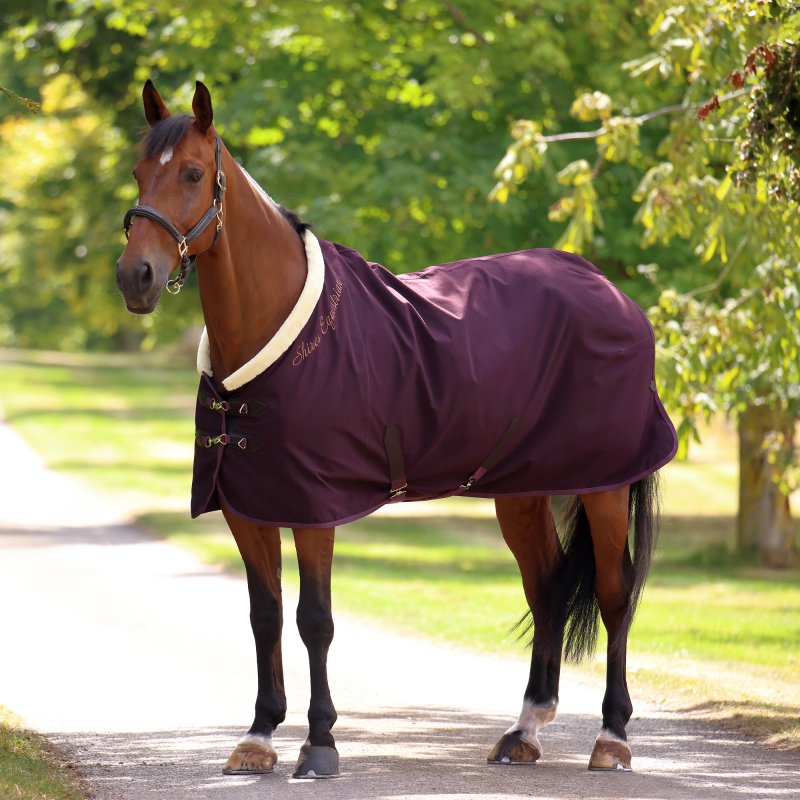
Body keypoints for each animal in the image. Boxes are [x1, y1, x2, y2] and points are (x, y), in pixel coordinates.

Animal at [117, 78, 676, 780]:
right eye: (138, 173)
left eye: (192, 174)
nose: (135, 277)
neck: (275, 327)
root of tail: (609, 288)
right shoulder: (247, 507)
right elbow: (264, 614)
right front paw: (259, 736)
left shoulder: (314, 507)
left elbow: (314, 619)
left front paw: (319, 745)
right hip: (520, 492)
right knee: (546, 586)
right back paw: (523, 730)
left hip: (604, 484)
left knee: (613, 591)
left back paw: (612, 738)